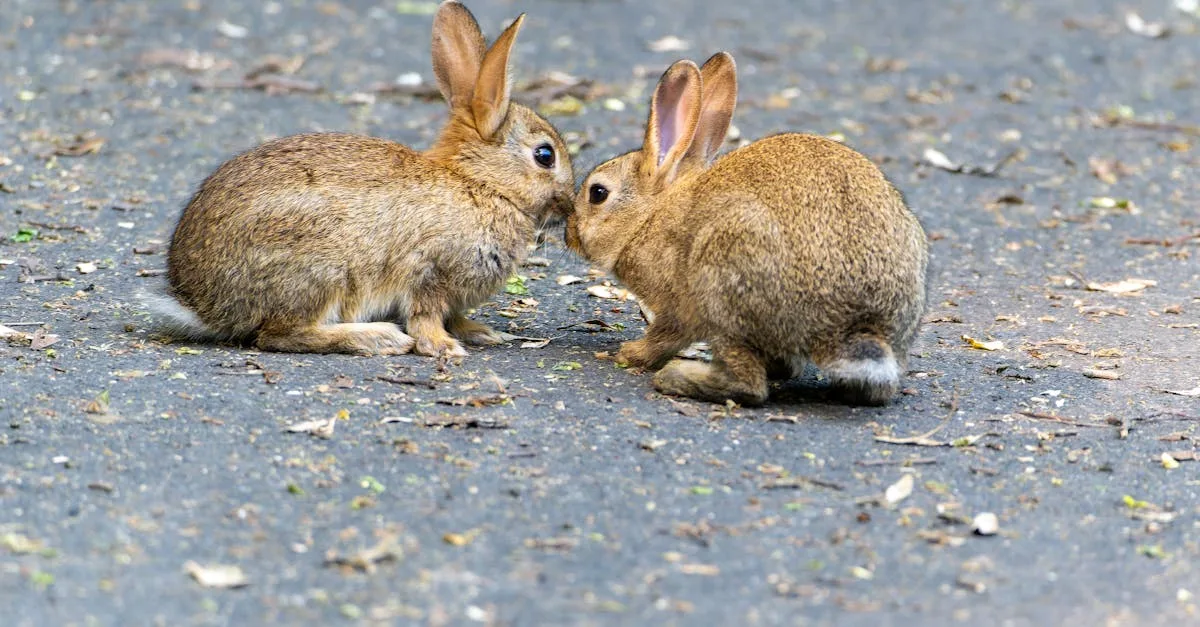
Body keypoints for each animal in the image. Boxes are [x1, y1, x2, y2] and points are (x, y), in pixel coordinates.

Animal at [144, 1, 575, 358]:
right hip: (320, 270)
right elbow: (426, 316)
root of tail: (200, 304)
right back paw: (378, 338)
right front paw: (443, 347)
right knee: (280, 334)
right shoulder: (429, 272)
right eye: (545, 155)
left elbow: (454, 316)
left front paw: (481, 332)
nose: (570, 206)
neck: (481, 183)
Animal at [565, 52, 929, 406]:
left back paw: (676, 377)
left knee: (748, 385)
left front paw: (629, 354)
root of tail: (858, 325)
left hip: (724, 286)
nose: (569, 233)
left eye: (598, 193)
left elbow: (664, 336)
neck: (649, 216)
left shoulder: (675, 307)